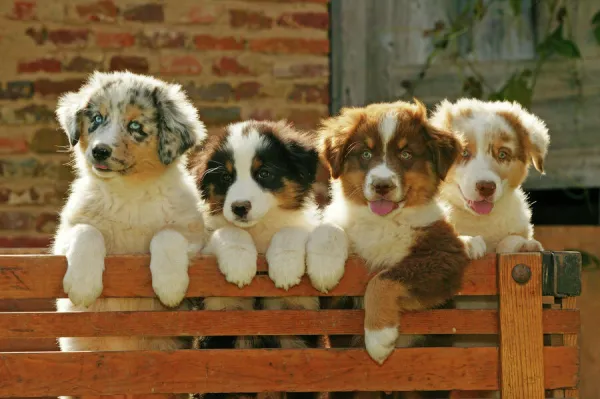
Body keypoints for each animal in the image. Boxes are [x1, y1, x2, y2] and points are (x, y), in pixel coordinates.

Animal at [52, 72, 206, 362]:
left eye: (135, 125)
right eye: (97, 118)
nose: (100, 151)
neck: (128, 191)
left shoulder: (194, 234)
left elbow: (167, 234)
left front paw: (170, 287)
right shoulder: (62, 236)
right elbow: (87, 231)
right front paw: (83, 285)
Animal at [308, 101, 472, 399]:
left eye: (406, 154)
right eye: (365, 153)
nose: (382, 186)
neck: (382, 222)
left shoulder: (443, 255)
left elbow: (383, 278)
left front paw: (379, 336)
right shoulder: (332, 305)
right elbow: (331, 227)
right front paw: (325, 269)